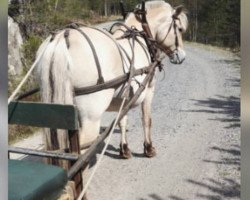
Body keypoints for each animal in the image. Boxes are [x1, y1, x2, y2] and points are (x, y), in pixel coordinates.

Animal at [36, 0, 187, 162]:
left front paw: (124, 149)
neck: (141, 36)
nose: (182, 56)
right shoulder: (149, 90)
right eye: (179, 29)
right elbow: (147, 119)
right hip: (91, 115)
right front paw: (148, 148)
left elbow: (122, 121)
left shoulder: (124, 97)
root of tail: (63, 38)